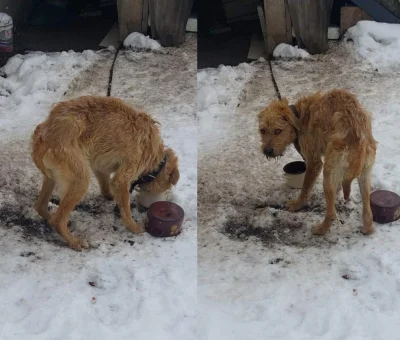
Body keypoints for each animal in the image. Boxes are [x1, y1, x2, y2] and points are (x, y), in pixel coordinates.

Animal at [30, 95, 180, 250]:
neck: (157, 158)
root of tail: (43, 136)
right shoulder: (124, 175)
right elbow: (126, 208)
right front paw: (134, 227)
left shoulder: (100, 168)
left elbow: (105, 184)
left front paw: (110, 195)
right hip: (80, 180)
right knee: (57, 221)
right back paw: (74, 241)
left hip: (52, 178)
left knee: (40, 206)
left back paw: (52, 218)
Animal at [260, 89, 378, 235]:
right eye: (262, 131)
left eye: (278, 131)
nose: (267, 151)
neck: (299, 116)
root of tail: (359, 138)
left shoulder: (314, 162)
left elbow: (305, 188)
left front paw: (297, 204)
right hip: (365, 174)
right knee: (367, 210)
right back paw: (367, 228)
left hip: (328, 172)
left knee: (332, 213)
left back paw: (321, 229)